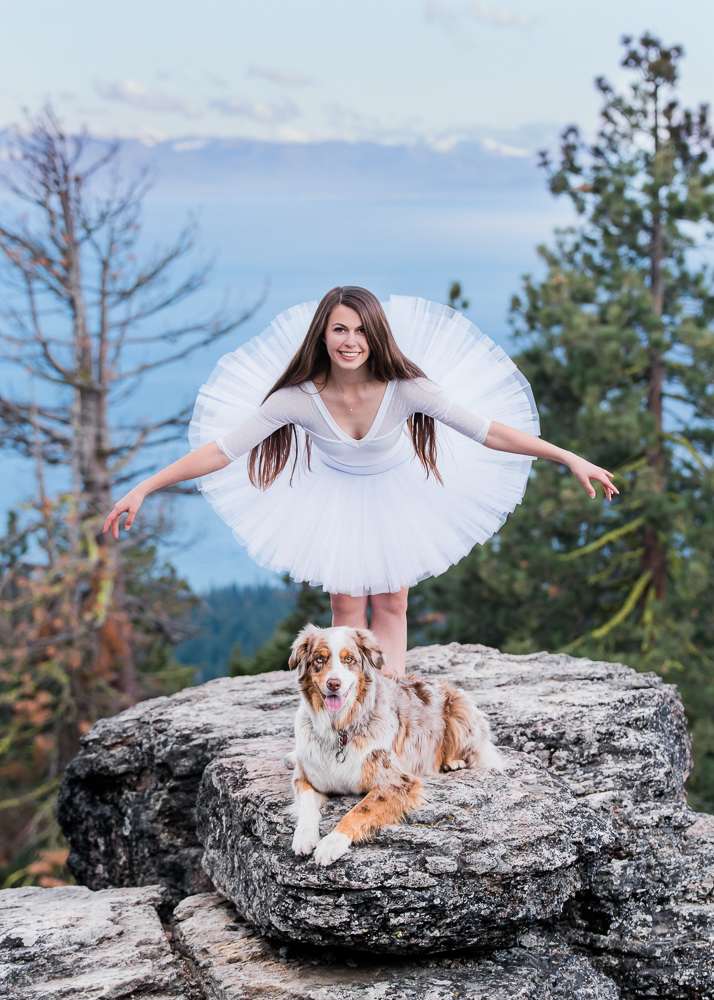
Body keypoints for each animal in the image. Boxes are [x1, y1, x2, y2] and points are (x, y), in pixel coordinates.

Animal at [286, 624, 500, 868]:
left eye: (349, 659)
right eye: (319, 659)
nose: (333, 684)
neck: (339, 729)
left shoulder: (397, 781)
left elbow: (359, 810)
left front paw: (332, 842)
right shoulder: (306, 777)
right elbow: (306, 805)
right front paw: (304, 836)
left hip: (459, 711)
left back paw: (453, 762)